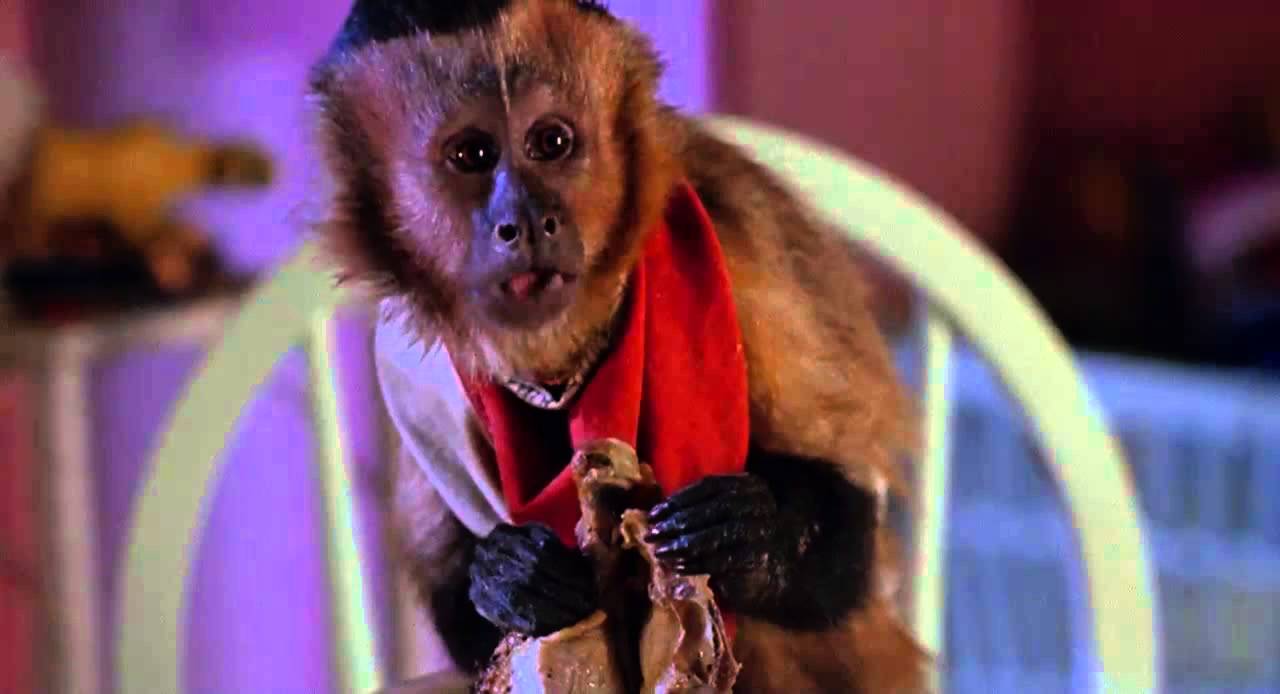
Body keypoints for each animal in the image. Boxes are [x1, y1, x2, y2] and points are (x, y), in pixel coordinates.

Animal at [307, 1, 930, 691]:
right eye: (470, 154)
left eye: (551, 142)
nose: (526, 221)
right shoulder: (405, 359)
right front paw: (507, 577)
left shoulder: (743, 239)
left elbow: (852, 531)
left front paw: (749, 538)